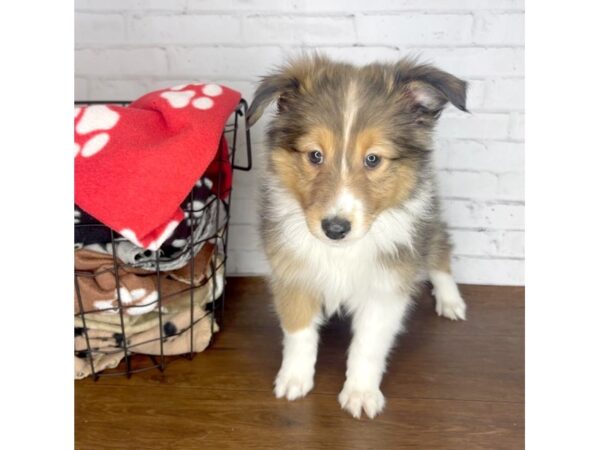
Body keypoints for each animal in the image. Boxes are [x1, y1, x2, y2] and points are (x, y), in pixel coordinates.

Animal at [247, 54, 468, 420]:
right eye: (315, 155)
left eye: (373, 159)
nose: (335, 229)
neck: (341, 251)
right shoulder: (293, 275)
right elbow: (299, 333)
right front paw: (294, 380)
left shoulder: (386, 288)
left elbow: (368, 347)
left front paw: (361, 394)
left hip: (428, 224)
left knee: (441, 250)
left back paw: (451, 301)